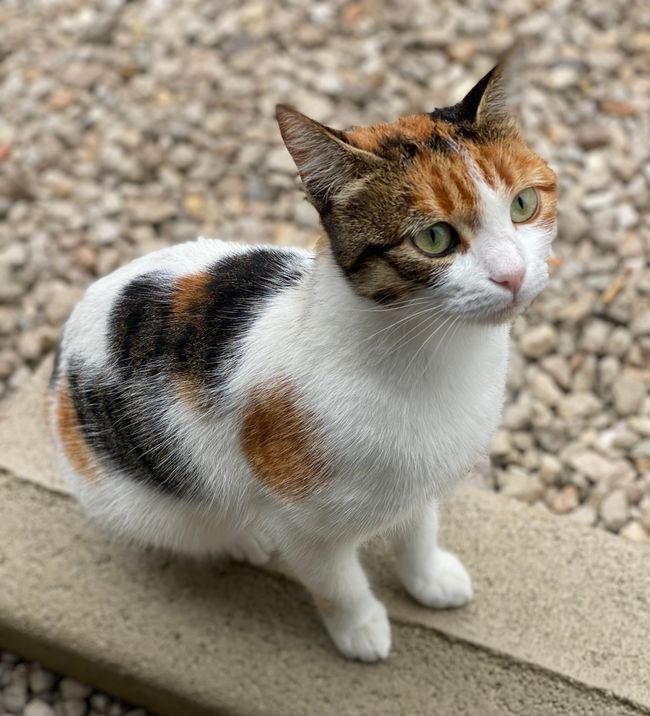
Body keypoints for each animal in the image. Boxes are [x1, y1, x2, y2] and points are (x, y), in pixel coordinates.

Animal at [48, 51, 556, 660]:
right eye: (433, 238)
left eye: (524, 204)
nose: (513, 275)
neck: (438, 356)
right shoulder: (307, 526)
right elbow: (337, 583)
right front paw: (361, 629)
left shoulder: (418, 484)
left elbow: (418, 529)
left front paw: (430, 577)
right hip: (144, 502)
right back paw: (246, 537)